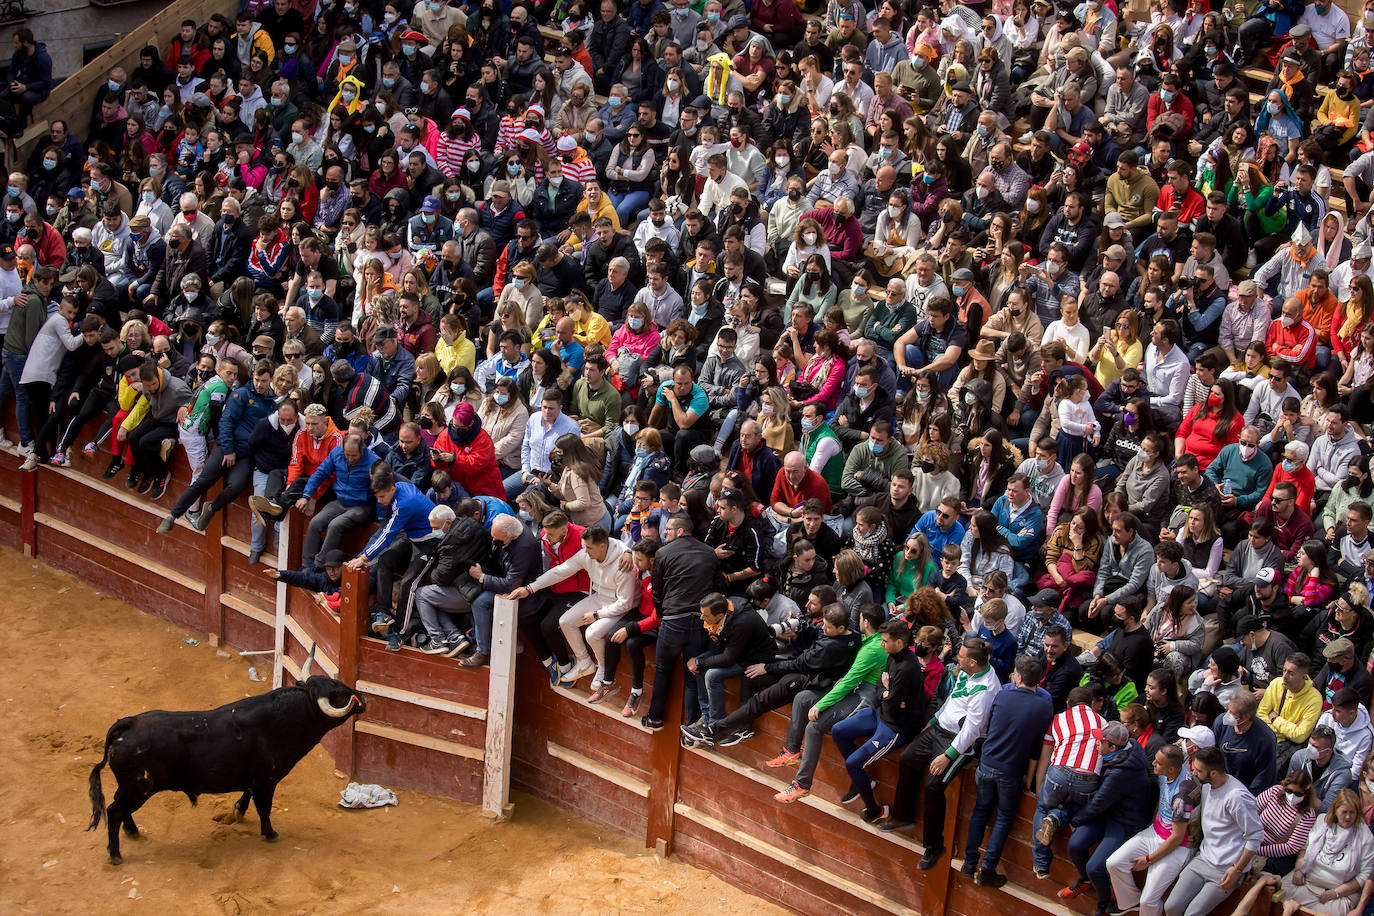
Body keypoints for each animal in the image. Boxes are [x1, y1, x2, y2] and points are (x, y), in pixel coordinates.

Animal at [85, 656, 365, 862]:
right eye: (338, 694)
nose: (363, 699)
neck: (289, 716)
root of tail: (127, 723)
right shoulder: (267, 780)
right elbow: (264, 807)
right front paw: (270, 833)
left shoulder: (254, 778)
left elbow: (247, 795)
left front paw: (238, 811)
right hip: (139, 788)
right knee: (114, 811)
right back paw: (115, 854)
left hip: (131, 788)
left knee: (118, 807)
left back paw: (132, 832)